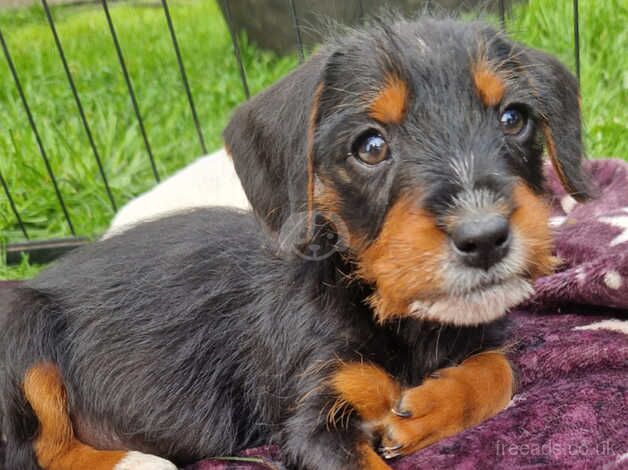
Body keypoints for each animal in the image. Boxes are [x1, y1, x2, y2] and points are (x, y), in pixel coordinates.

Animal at [1, 15, 588, 470]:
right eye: (370, 146)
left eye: (513, 118)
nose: (484, 238)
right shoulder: (311, 420)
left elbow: (501, 368)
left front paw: (428, 406)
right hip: (19, 324)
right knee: (35, 449)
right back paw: (139, 460)